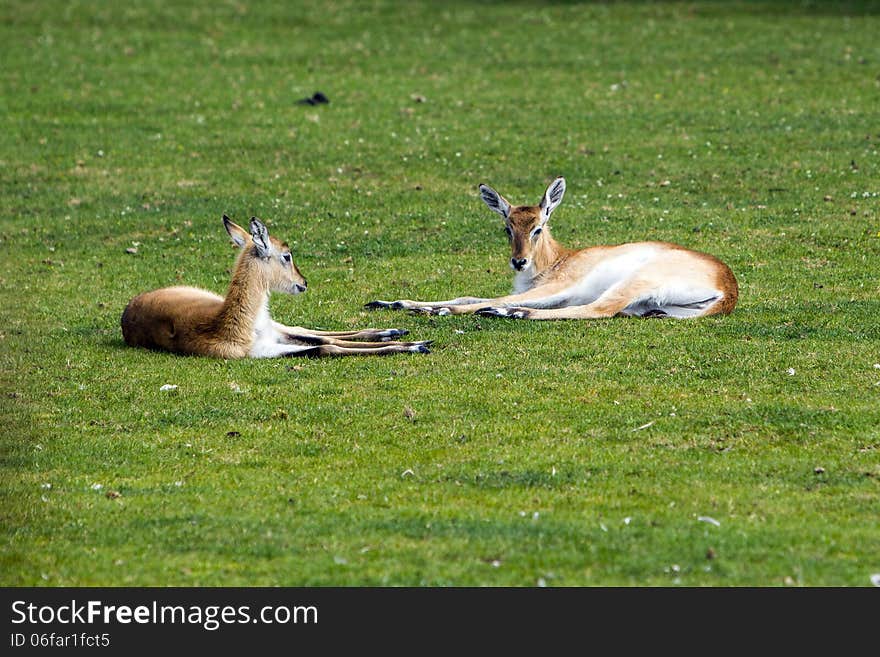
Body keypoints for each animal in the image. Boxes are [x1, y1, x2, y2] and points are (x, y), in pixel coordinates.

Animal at [121, 217, 434, 358]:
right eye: (287, 255)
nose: (303, 282)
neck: (228, 326)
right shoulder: (263, 351)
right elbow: (324, 347)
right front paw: (416, 345)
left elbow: (321, 340)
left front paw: (416, 341)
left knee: (308, 330)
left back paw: (395, 329)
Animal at [368, 177, 740, 320]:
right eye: (507, 227)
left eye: (538, 227)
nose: (519, 262)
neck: (556, 261)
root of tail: (727, 287)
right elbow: (467, 295)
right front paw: (389, 302)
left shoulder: (559, 287)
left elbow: (484, 299)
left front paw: (438, 310)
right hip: (653, 307)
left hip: (633, 281)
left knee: (598, 309)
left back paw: (506, 313)